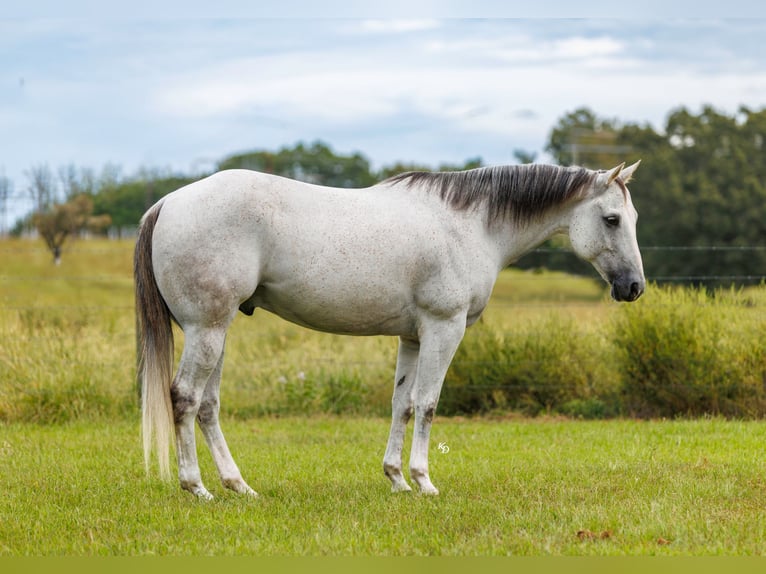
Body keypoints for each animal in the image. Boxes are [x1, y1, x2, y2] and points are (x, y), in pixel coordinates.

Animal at [134, 160, 645, 499]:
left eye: (632, 219)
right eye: (612, 219)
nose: (634, 287)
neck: (469, 225)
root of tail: (168, 202)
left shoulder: (413, 337)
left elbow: (402, 404)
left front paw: (397, 479)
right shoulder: (444, 328)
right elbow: (429, 403)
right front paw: (424, 481)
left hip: (216, 332)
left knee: (208, 406)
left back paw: (238, 486)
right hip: (207, 330)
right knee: (184, 398)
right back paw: (197, 487)